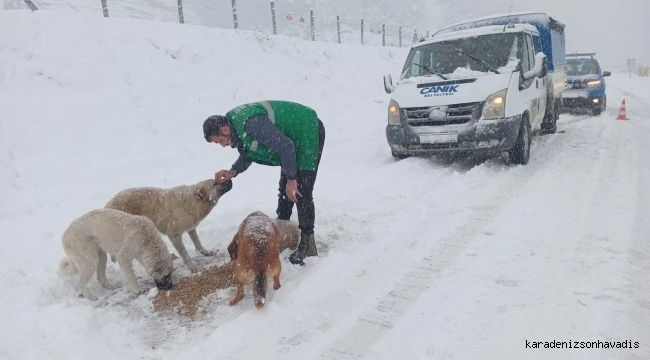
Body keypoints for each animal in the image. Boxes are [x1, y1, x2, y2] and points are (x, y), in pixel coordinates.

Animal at [106, 179, 235, 272]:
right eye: (215, 183)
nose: (230, 179)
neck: (191, 201)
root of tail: (107, 206)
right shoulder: (174, 235)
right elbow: (185, 254)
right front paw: (193, 267)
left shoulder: (191, 228)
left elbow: (197, 241)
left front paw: (204, 251)